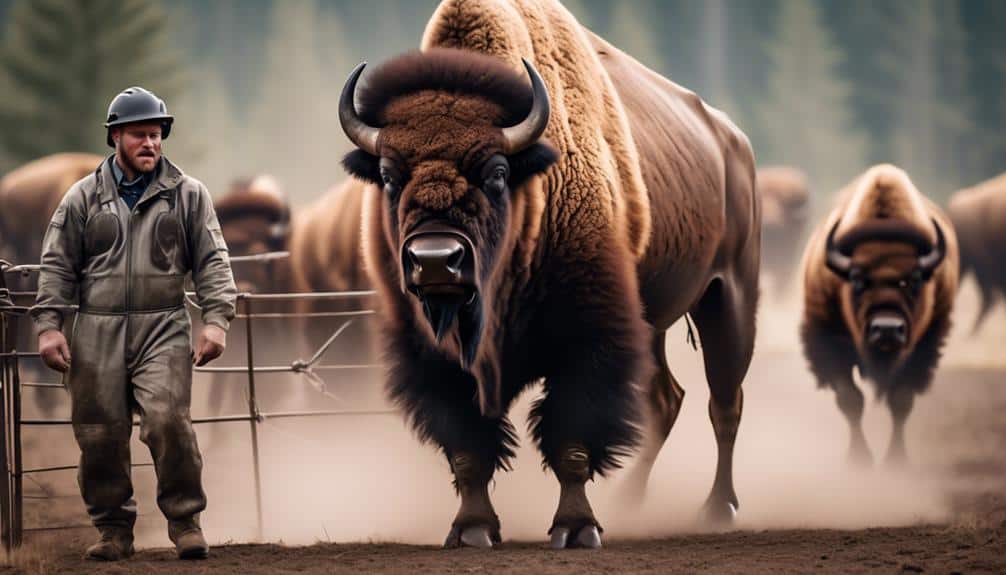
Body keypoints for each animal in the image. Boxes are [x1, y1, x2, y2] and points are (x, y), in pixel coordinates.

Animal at [338, 0, 759, 548]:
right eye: (388, 175)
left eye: (496, 171)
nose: (435, 259)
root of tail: (735, 143)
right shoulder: (432, 356)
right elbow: (468, 446)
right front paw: (472, 530)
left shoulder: (588, 339)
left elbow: (571, 440)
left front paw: (576, 528)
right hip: (653, 322)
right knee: (666, 400)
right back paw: (630, 503)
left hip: (729, 297)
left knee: (724, 401)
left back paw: (717, 508)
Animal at [800, 164, 958, 465]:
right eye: (856, 279)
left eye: (915, 279)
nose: (887, 330)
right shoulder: (829, 342)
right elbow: (850, 399)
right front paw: (859, 460)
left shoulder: (923, 348)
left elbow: (901, 400)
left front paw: (897, 461)